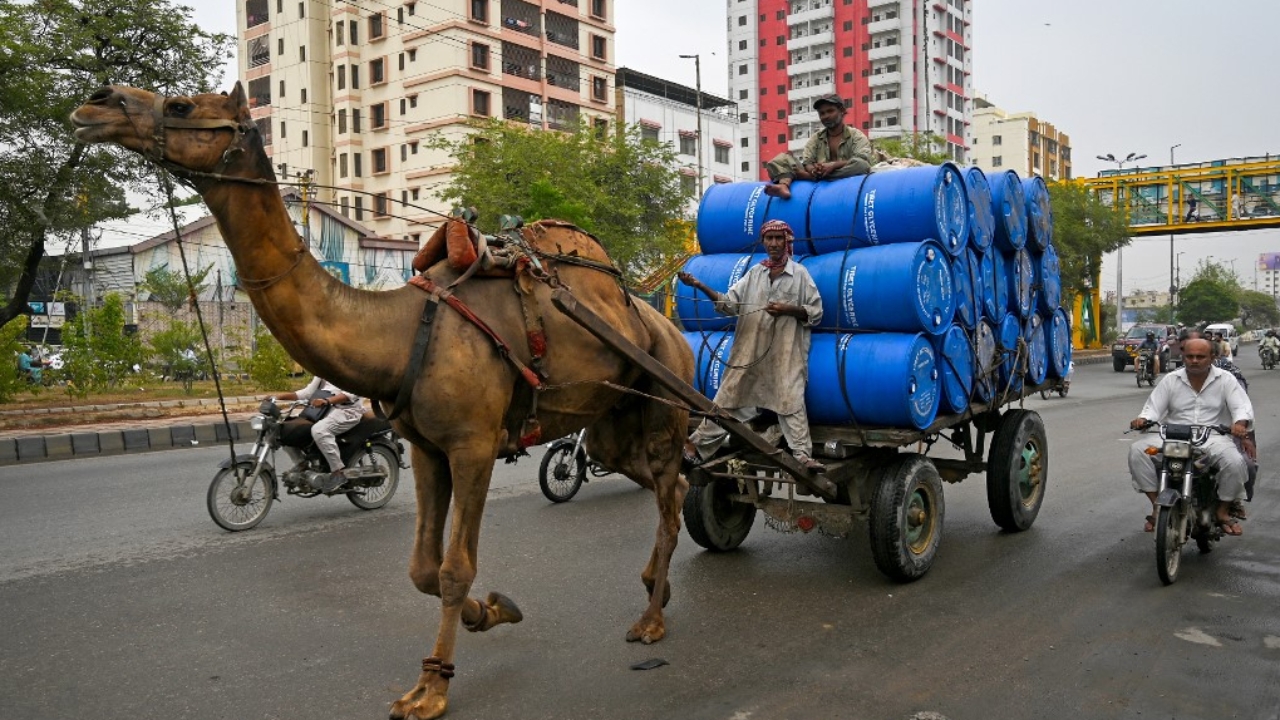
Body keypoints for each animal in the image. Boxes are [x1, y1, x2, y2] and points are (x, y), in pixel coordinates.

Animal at [68, 82, 691, 712]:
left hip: (666, 394)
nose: (96, 103)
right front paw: (493, 612)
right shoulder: (426, 447)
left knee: (670, 487)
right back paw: (654, 590)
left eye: (181, 106)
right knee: (662, 479)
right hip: (611, 420)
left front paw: (432, 690)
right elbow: (421, 568)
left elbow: (454, 569)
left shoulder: (473, 444)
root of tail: (662, 323)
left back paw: (652, 619)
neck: (400, 332)